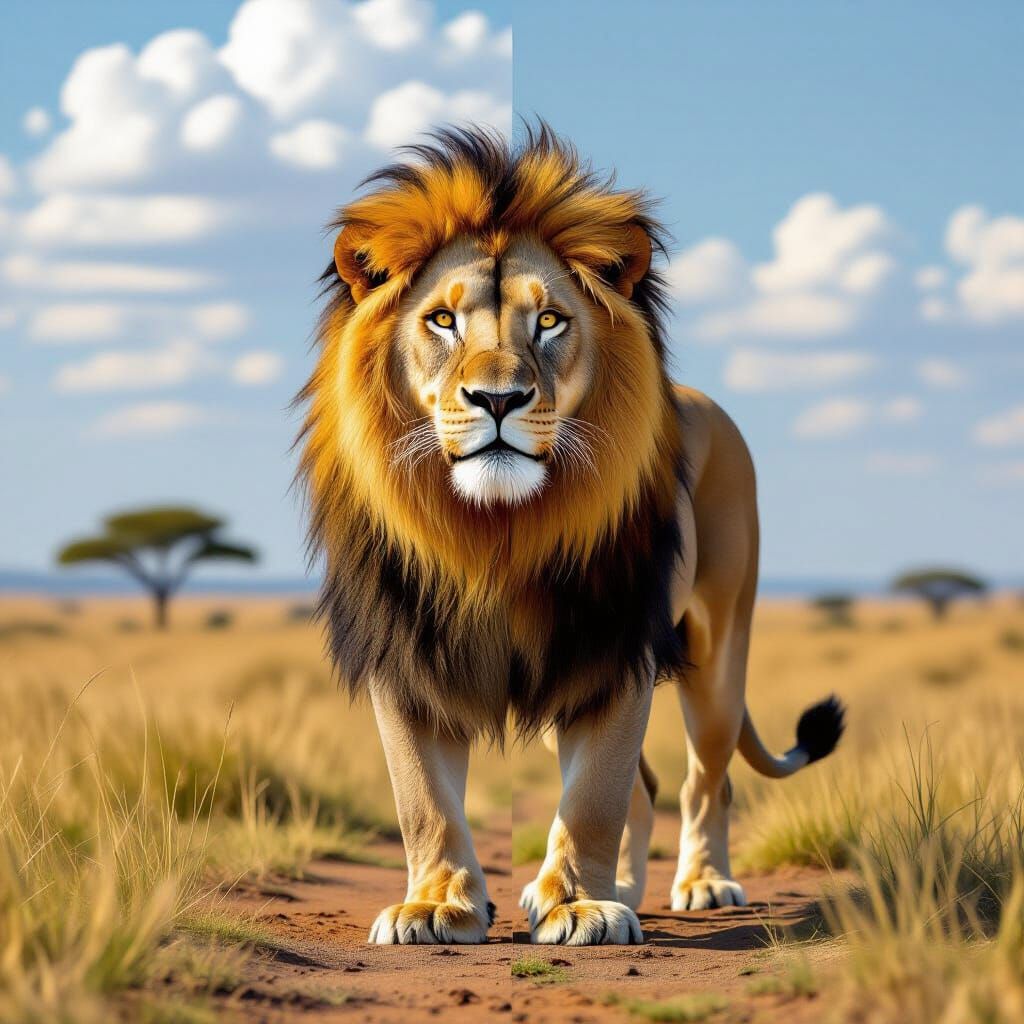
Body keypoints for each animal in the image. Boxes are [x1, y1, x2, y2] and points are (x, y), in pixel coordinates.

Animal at [296, 125, 845, 946]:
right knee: (649, 787)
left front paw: (579, 906)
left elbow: (595, 796)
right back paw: (626, 883)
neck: (494, 533)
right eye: (442, 320)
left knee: (703, 782)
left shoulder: (612, 647)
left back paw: (701, 882)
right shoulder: (408, 652)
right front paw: (437, 904)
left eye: (549, 320)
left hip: (718, 648)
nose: (497, 399)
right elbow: (424, 798)